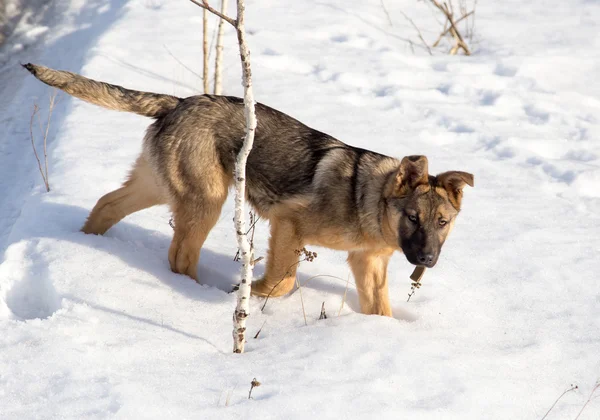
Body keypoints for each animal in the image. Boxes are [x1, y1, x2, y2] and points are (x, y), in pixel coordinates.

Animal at [23, 63, 474, 316]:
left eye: (443, 222)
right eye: (412, 217)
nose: (428, 260)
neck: (365, 198)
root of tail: (178, 101)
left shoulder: (368, 264)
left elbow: (380, 311)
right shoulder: (289, 225)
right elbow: (282, 282)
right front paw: (249, 292)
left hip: (157, 186)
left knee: (106, 204)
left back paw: (86, 243)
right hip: (206, 201)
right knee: (179, 256)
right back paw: (195, 292)